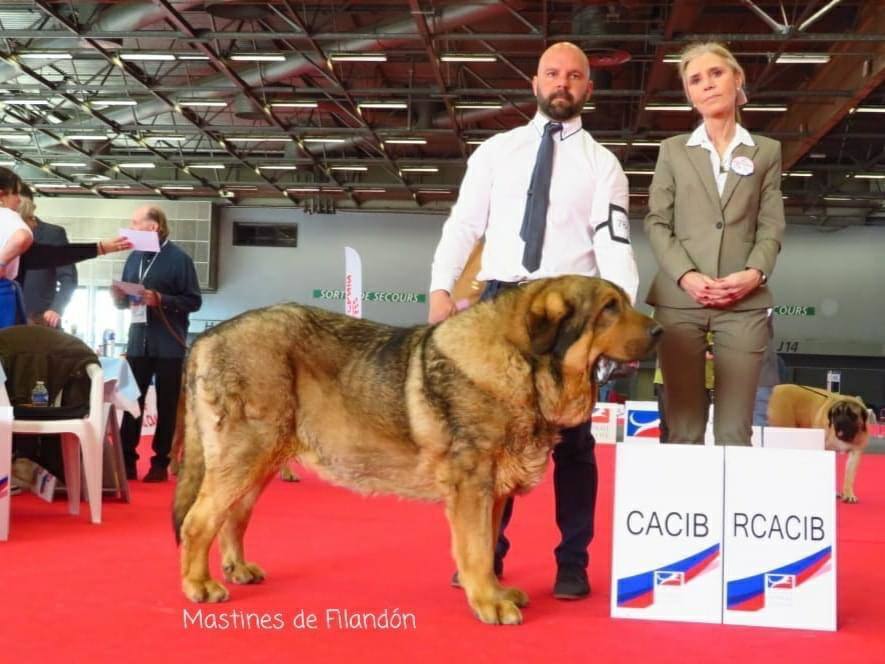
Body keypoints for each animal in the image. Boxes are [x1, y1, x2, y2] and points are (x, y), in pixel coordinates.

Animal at [173, 274, 660, 624]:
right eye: (609, 308)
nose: (657, 329)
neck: (523, 363)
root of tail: (208, 337)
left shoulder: (495, 491)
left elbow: (489, 545)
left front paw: (494, 592)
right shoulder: (473, 485)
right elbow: (477, 549)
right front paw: (489, 602)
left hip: (262, 459)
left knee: (233, 517)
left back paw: (238, 568)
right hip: (246, 452)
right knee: (199, 521)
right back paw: (199, 584)